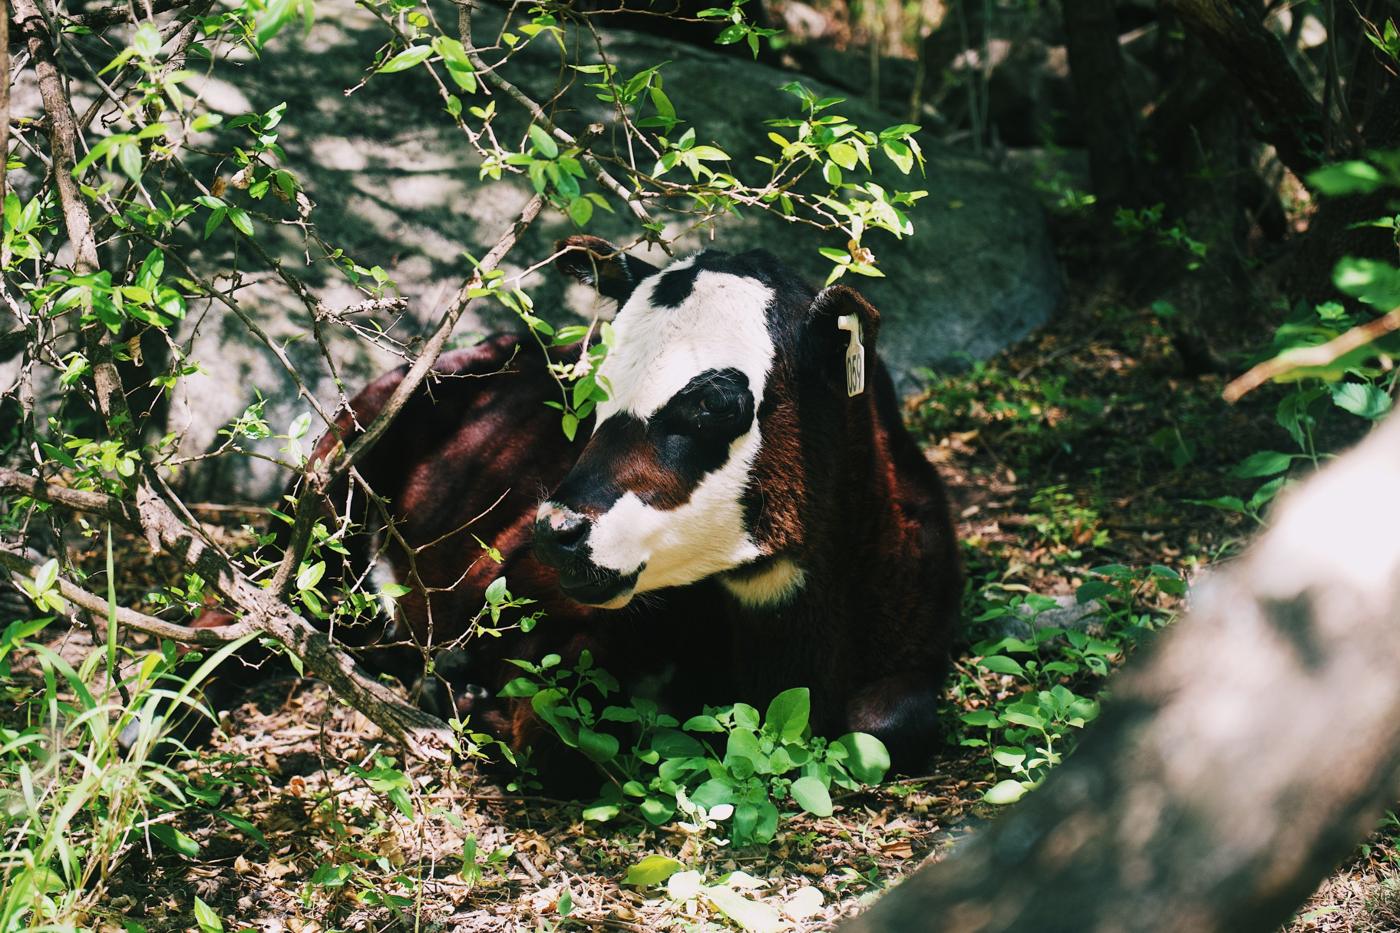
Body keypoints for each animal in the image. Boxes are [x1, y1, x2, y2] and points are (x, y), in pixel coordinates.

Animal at [195, 235, 962, 783]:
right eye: (592, 383)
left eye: (716, 402)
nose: (555, 530)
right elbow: (560, 733)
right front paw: (465, 699)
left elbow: (891, 724)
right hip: (327, 484)